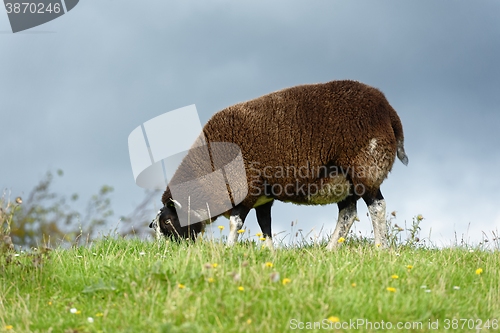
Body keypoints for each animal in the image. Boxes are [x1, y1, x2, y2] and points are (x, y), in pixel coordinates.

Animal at [150, 79, 408, 248]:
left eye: (167, 221)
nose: (163, 252)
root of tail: (389, 111)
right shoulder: (263, 197)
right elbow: (265, 227)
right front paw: (270, 254)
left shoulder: (247, 189)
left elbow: (236, 223)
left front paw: (228, 251)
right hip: (342, 180)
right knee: (348, 213)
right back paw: (330, 250)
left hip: (366, 166)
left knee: (377, 206)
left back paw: (380, 249)